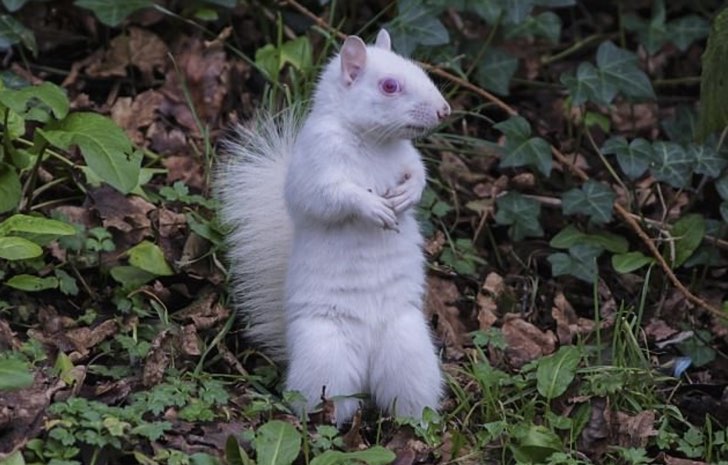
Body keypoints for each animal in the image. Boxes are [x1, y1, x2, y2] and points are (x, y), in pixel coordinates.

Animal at [216, 29, 450, 426]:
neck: (373, 141)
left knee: (405, 401)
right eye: (389, 86)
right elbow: (330, 196)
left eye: (417, 68)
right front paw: (373, 207)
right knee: (327, 401)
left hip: (409, 355)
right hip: (326, 357)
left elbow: (418, 174)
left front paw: (406, 196)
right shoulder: (317, 164)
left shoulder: (408, 158)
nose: (443, 110)